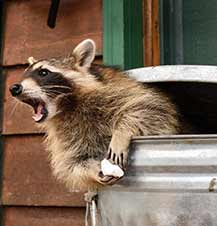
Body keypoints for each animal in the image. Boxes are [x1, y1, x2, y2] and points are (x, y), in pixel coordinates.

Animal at [10, 38, 182, 191]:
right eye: (24, 74)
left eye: (43, 72)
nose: (14, 88)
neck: (66, 107)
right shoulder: (65, 136)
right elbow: (72, 164)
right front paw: (93, 170)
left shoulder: (118, 90)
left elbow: (151, 108)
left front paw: (122, 132)